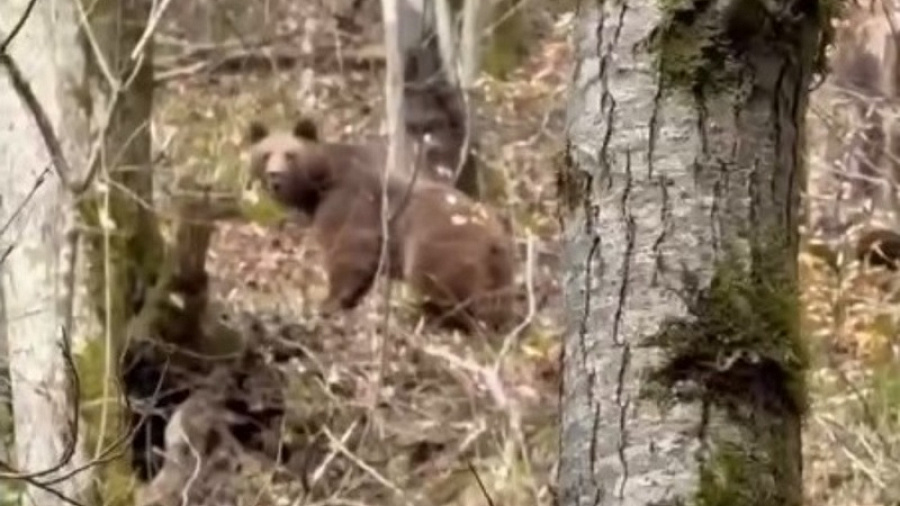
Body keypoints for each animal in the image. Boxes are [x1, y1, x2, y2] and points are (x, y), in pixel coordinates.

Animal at [244, 116, 520, 334]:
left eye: (290, 155)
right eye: (265, 154)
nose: (275, 176)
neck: (320, 187)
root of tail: (492, 236)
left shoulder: (351, 203)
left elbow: (350, 251)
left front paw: (329, 302)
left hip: (439, 245)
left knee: (437, 285)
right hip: (501, 270)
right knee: (496, 305)